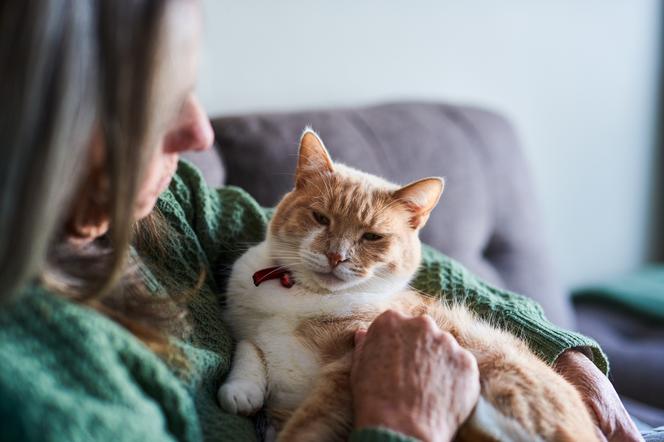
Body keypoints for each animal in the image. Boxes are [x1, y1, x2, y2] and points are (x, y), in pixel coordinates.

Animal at [217, 129, 596, 442]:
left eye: (372, 237)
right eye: (320, 218)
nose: (336, 255)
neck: (304, 297)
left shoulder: (346, 370)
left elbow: (309, 426)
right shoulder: (246, 329)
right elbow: (249, 346)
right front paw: (241, 390)